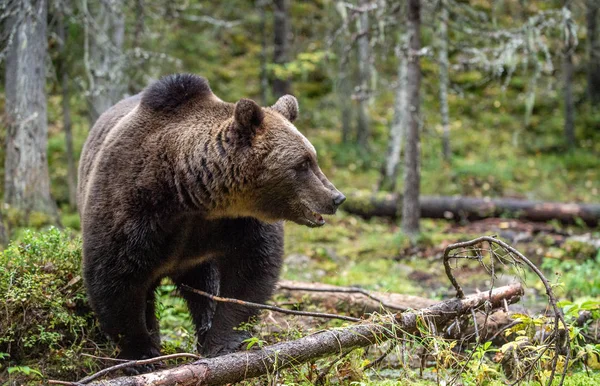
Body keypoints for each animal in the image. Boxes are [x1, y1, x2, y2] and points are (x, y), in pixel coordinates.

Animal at [77, 74, 344, 360]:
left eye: (313, 158)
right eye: (302, 164)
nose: (336, 197)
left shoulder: (237, 222)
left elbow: (249, 272)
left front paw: (223, 340)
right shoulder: (134, 208)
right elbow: (115, 278)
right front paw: (142, 352)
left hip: (195, 260)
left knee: (204, 287)